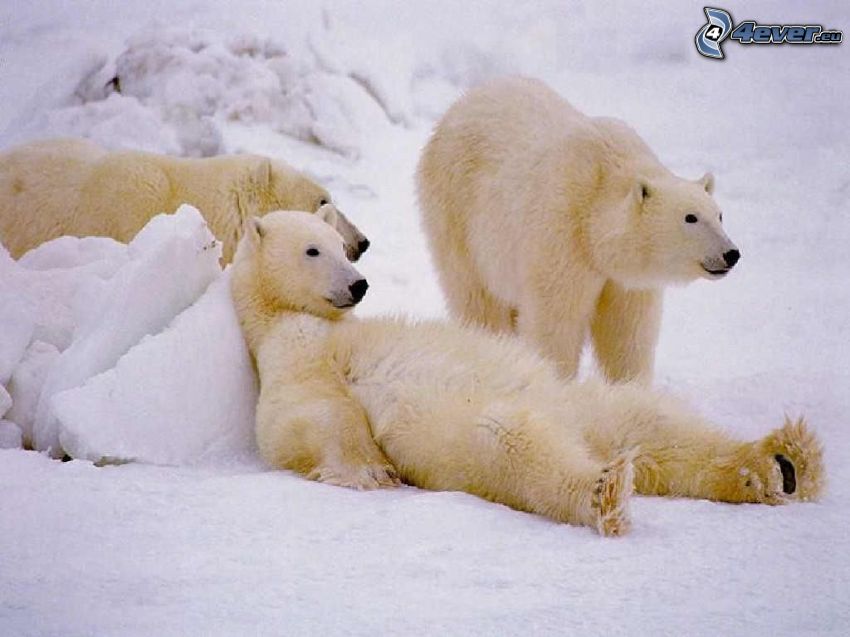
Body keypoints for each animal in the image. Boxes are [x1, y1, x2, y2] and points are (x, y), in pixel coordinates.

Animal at [229, 210, 820, 536]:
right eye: (313, 250)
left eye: (340, 247)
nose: (358, 284)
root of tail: (582, 433)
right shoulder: (290, 354)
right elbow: (306, 416)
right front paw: (371, 472)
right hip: (470, 430)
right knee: (513, 444)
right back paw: (605, 490)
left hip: (583, 402)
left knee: (652, 425)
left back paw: (783, 463)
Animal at [420, 76, 740, 382]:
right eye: (690, 218)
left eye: (719, 215)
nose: (731, 254)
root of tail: (460, 104)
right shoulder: (563, 232)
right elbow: (557, 319)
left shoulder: (625, 280)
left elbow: (627, 330)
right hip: (457, 212)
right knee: (478, 298)